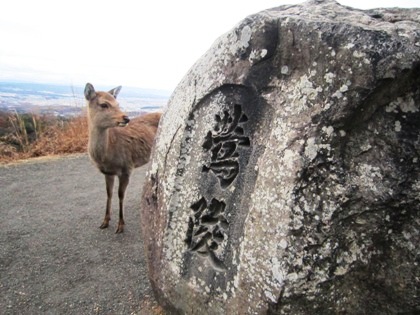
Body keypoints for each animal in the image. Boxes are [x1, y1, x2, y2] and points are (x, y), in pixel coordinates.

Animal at [83, 82, 161, 233]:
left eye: (118, 103)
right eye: (104, 104)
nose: (126, 118)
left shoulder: (126, 167)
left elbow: (121, 194)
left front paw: (120, 225)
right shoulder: (108, 172)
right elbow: (109, 193)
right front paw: (105, 221)